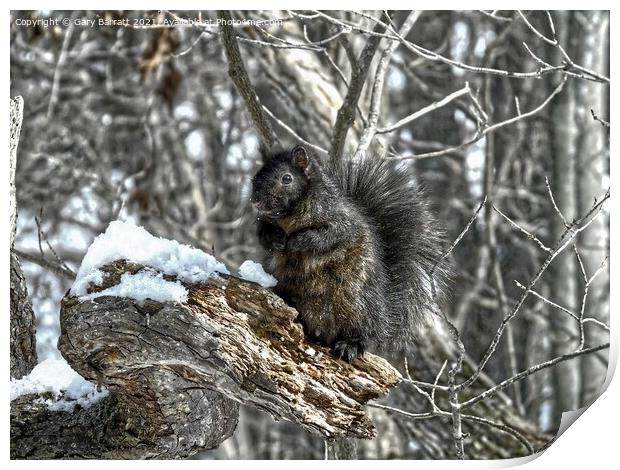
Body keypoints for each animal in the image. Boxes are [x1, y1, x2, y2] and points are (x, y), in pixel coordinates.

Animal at [249, 145, 448, 362]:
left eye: (287, 178)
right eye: (259, 172)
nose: (255, 200)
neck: (289, 216)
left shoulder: (341, 222)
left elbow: (327, 237)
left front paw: (296, 242)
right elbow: (263, 234)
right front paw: (275, 238)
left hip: (358, 306)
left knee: (362, 334)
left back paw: (349, 345)